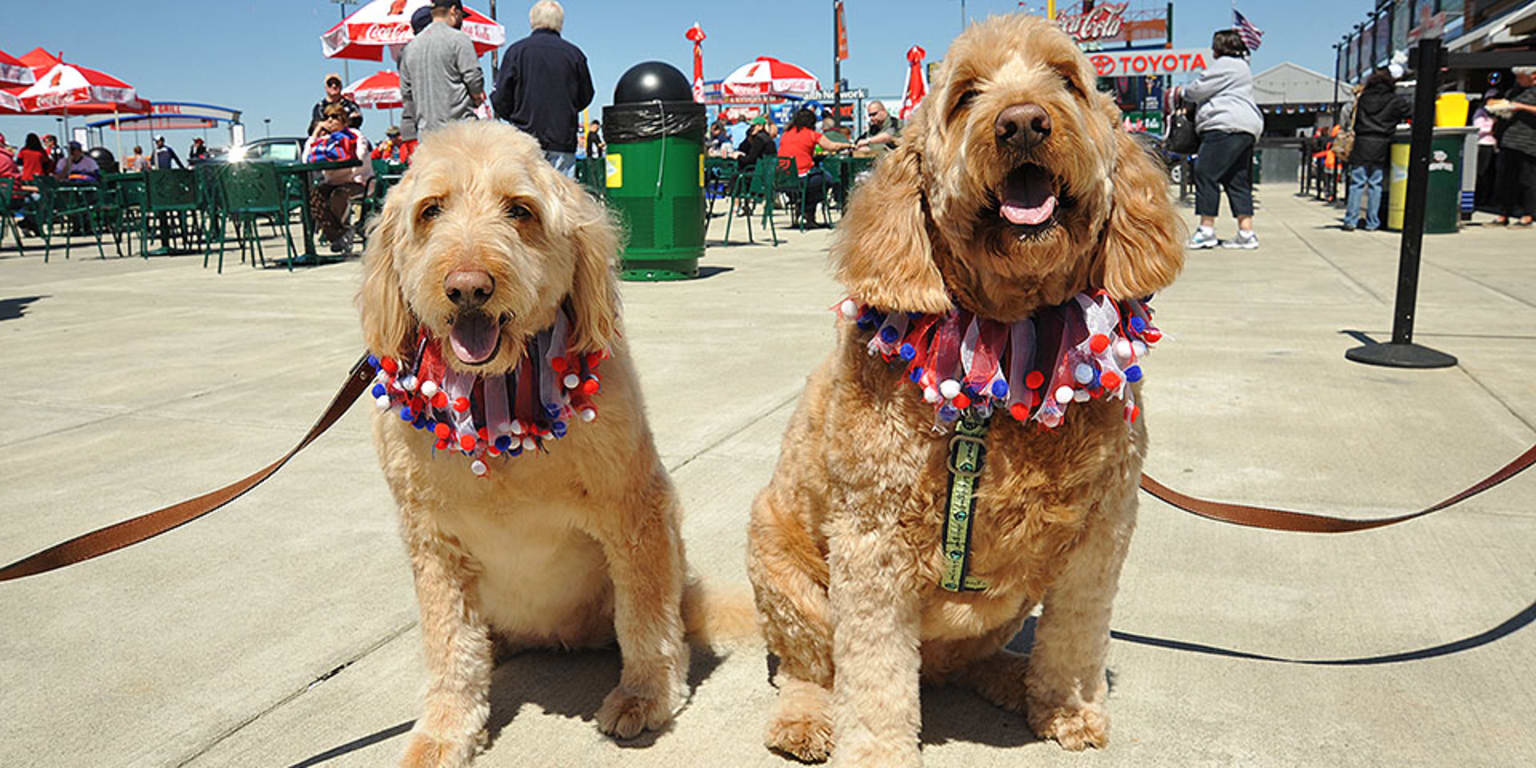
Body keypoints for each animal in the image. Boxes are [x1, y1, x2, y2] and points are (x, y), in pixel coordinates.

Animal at [356, 122, 694, 764]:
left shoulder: (636, 511)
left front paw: (645, 696)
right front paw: (445, 731)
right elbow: (450, 649)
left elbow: (646, 616)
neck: (497, 400)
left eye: (519, 210)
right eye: (430, 210)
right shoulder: (432, 542)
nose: (467, 289)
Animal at [749, 13, 1179, 768]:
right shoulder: (871, 541)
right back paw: (805, 720)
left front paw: (1068, 708)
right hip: (782, 573)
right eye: (966, 95)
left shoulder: (1103, 533)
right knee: (812, 669)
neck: (1011, 332)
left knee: (971, 660)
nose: (1024, 122)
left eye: (1067, 78)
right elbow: (874, 675)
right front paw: (879, 754)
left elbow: (1075, 637)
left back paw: (1012, 680)